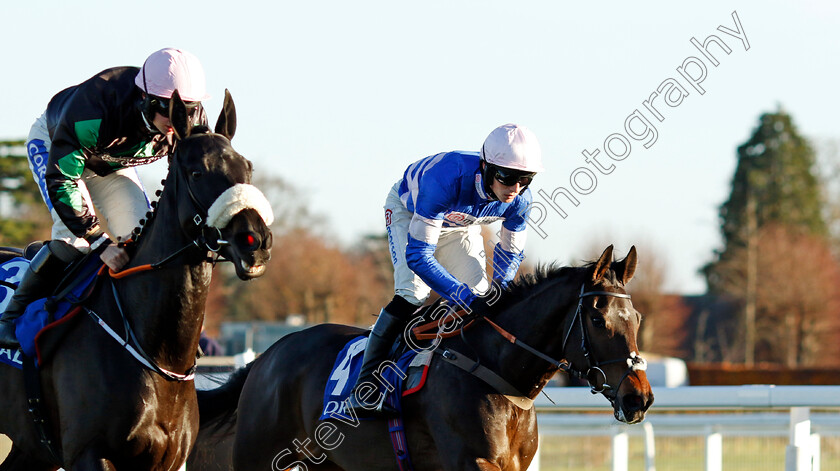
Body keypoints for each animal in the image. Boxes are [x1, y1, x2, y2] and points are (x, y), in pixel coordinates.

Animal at [0, 90, 272, 470]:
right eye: (197, 172)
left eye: (246, 168)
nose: (256, 241)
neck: (158, 353)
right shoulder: (88, 453)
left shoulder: (167, 459)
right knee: (65, 241)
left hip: (31, 449)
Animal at [199, 245, 656, 470]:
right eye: (597, 319)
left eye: (636, 318)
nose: (640, 397)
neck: (495, 373)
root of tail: (266, 358)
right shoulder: (472, 462)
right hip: (259, 456)